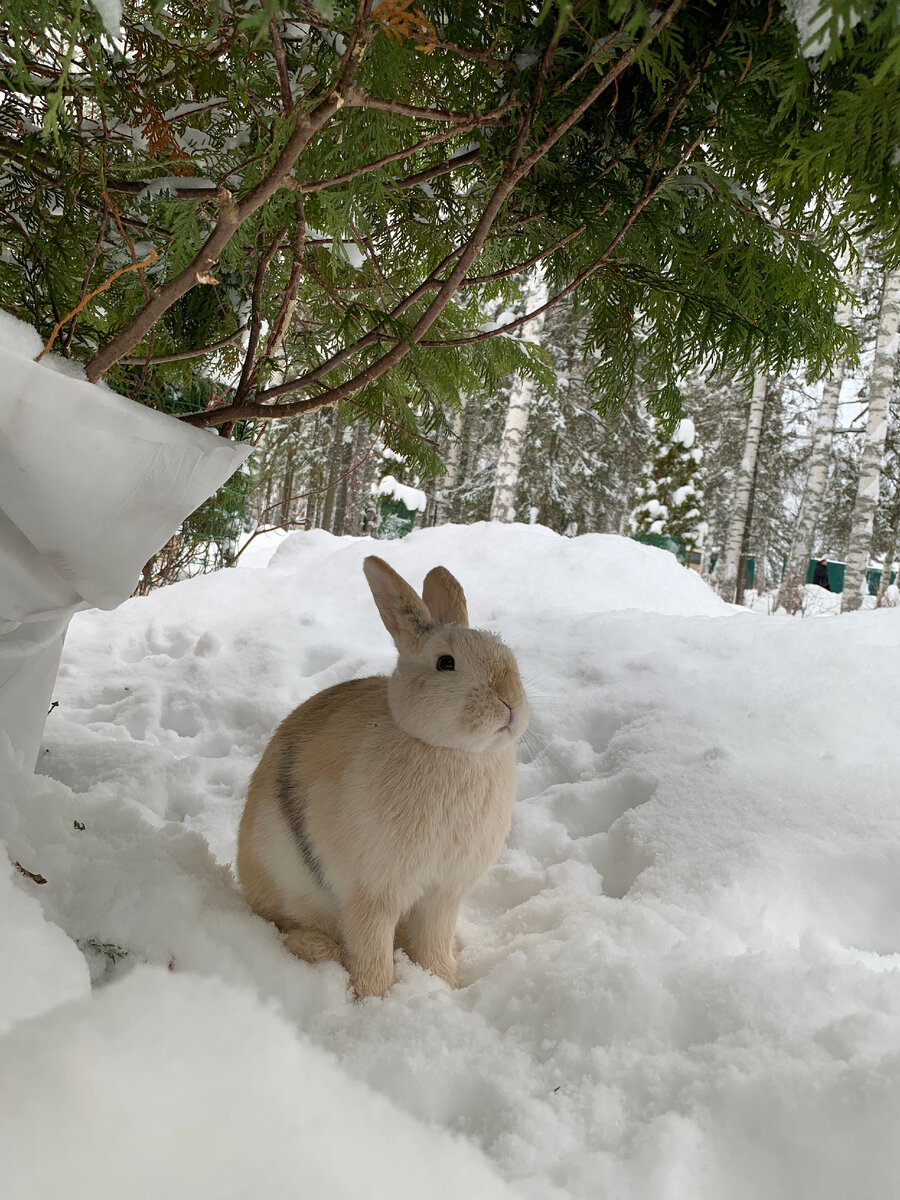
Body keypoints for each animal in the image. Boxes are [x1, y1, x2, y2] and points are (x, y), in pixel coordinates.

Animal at [240, 556, 532, 998]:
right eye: (445, 663)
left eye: (506, 653)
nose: (510, 700)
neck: (451, 751)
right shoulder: (372, 892)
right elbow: (372, 946)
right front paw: (377, 997)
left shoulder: (443, 894)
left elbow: (432, 941)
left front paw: (443, 985)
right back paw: (318, 949)